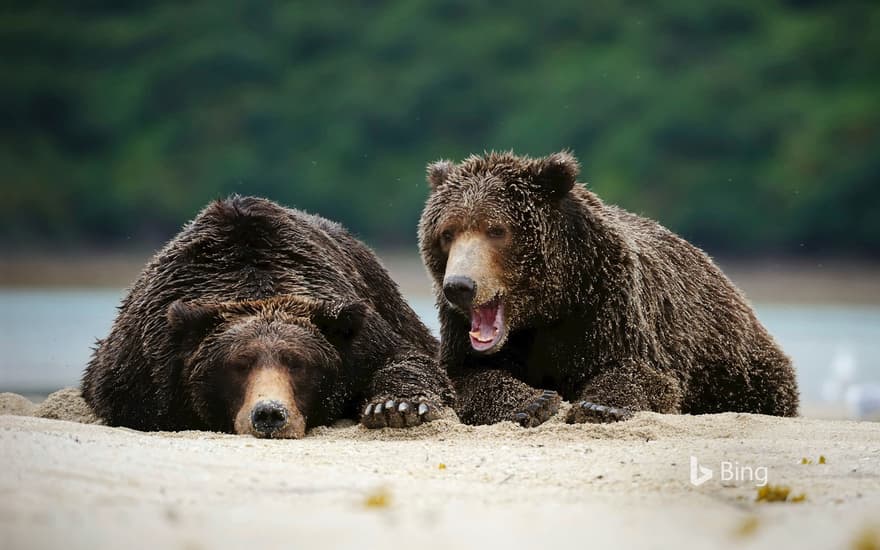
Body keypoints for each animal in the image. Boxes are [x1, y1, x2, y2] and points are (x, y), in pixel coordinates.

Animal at [82, 197, 454, 440]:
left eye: (298, 363)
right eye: (238, 364)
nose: (269, 414)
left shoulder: (358, 338)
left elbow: (405, 358)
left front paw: (395, 407)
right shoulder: (147, 365)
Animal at [420, 153, 796, 430]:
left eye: (496, 230)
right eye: (447, 233)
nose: (460, 286)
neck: (549, 306)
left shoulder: (606, 304)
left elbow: (640, 372)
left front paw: (599, 406)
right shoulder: (461, 331)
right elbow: (463, 375)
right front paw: (532, 402)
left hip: (734, 363)